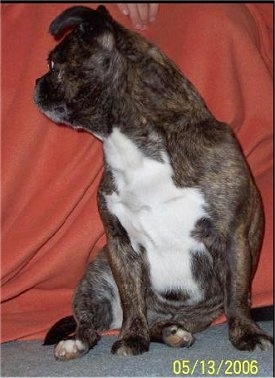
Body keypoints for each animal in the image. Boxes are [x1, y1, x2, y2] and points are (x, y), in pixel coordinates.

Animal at [33, 5, 272, 360]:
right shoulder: (120, 246)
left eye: (52, 64)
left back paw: (173, 332)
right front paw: (132, 338)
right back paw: (78, 341)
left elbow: (238, 295)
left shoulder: (232, 237)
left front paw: (247, 333)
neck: (137, 147)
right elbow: (133, 299)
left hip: (194, 311)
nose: (37, 82)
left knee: (168, 322)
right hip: (96, 280)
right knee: (90, 322)